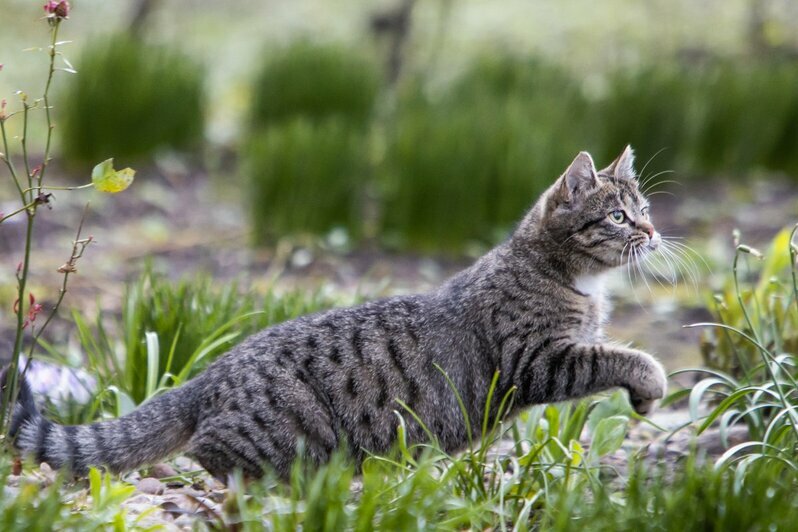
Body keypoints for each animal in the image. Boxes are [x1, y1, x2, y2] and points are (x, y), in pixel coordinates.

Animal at [4, 144, 668, 478]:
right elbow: (621, 355)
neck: (574, 280)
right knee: (209, 458)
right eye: (618, 215)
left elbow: (614, 349)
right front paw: (650, 384)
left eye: (643, 208)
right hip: (281, 435)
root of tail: (212, 373)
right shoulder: (536, 359)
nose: (654, 231)